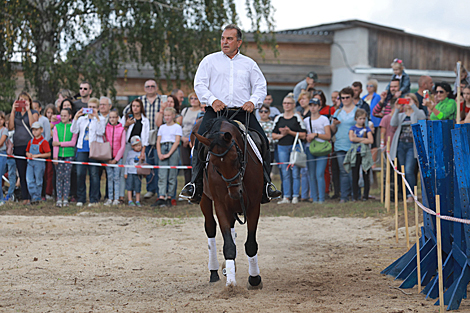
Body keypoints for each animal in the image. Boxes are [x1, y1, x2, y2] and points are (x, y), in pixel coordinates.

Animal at [192, 116, 262, 288]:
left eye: (236, 158)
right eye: (215, 165)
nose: (235, 194)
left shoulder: (253, 206)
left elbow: (250, 244)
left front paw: (254, 279)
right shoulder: (221, 205)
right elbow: (229, 246)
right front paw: (231, 283)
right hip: (205, 199)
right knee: (210, 228)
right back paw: (215, 272)